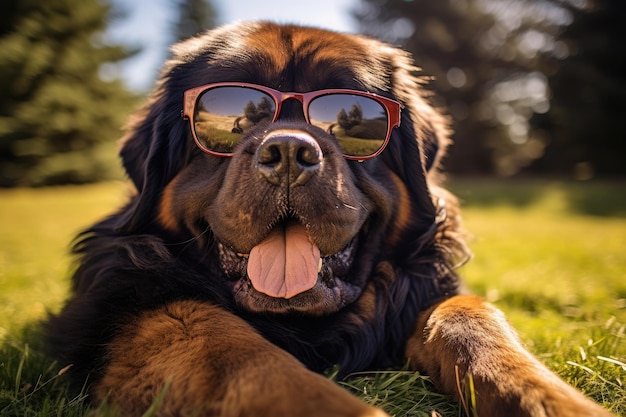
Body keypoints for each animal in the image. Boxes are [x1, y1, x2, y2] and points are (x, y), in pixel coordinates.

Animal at [46, 21, 612, 414]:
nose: (289, 153)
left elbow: (473, 320)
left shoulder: (424, 291)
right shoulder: (138, 305)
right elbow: (233, 350)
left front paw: (556, 401)